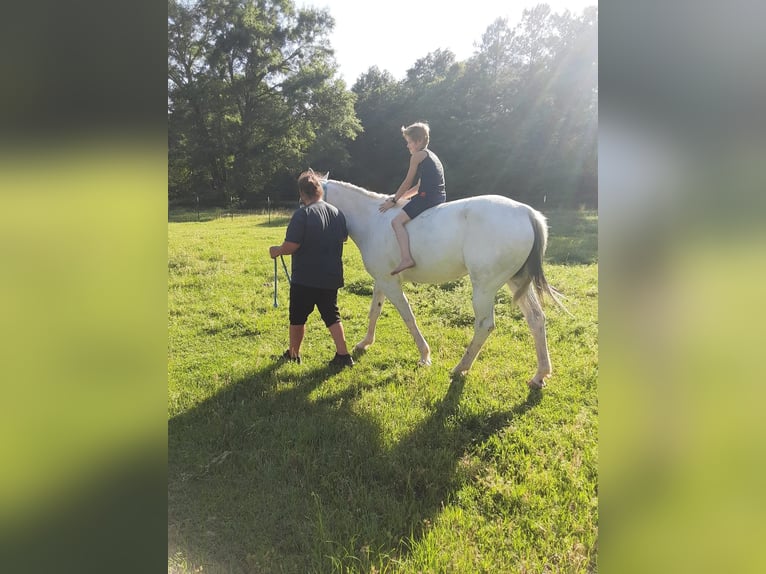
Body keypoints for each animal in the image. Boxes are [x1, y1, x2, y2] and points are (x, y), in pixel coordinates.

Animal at [320, 176, 568, 392]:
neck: (373, 220)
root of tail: (527, 213)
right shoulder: (383, 280)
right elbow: (374, 311)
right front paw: (365, 343)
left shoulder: (390, 284)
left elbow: (408, 317)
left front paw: (424, 356)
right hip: (516, 282)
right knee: (536, 319)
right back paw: (539, 376)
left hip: (484, 288)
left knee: (485, 325)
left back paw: (461, 367)